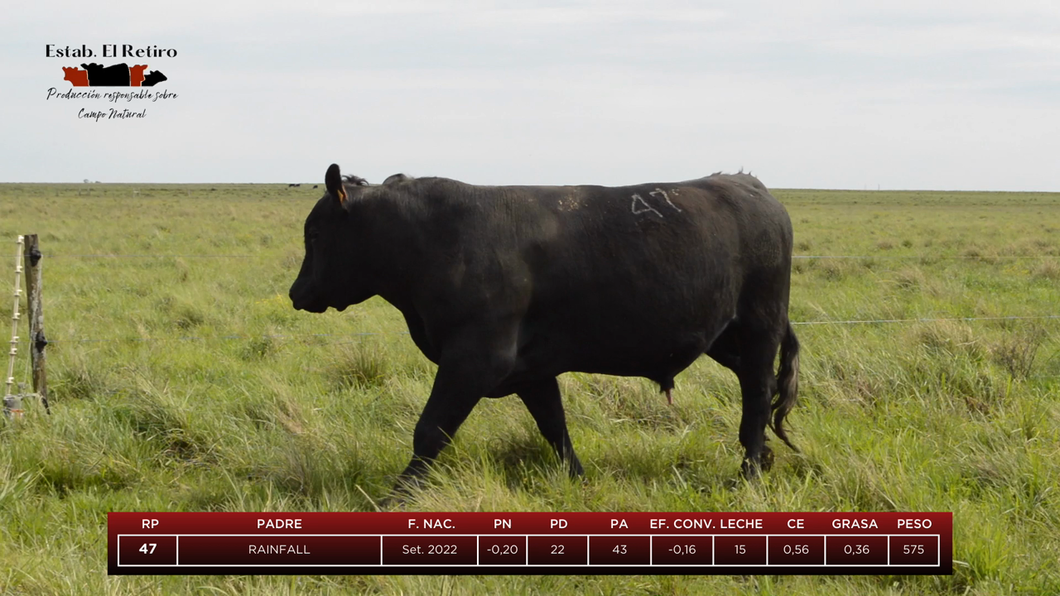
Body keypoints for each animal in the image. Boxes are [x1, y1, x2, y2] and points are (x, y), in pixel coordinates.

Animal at [286, 162, 797, 496]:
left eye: (315, 234)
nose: (296, 292)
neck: (434, 241)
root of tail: (748, 183)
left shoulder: (475, 358)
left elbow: (431, 429)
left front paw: (397, 498)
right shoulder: (529, 368)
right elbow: (554, 425)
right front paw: (579, 482)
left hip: (759, 326)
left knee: (757, 397)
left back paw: (748, 477)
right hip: (724, 336)